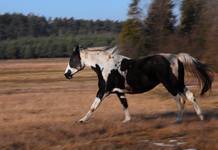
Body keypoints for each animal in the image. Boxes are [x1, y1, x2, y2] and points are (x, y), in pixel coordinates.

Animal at [63, 46, 213, 123]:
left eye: (72, 60)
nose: (66, 74)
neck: (104, 66)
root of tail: (177, 57)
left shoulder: (103, 91)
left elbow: (93, 106)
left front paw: (81, 120)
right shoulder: (119, 91)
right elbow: (124, 105)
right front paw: (127, 121)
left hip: (170, 84)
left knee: (180, 99)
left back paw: (178, 120)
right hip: (178, 83)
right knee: (190, 95)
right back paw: (200, 116)